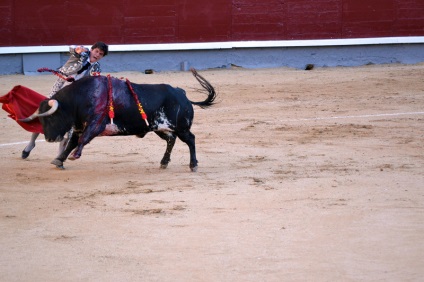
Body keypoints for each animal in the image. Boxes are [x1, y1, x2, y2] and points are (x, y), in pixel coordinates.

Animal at [22, 69, 215, 172]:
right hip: (159, 127)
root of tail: (182, 94)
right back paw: (163, 163)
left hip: (181, 127)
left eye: (52, 117)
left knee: (190, 139)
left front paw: (74, 155)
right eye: (42, 121)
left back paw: (193, 165)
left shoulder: (95, 124)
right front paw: (59, 160)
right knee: (171, 140)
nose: (49, 139)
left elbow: (82, 140)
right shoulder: (78, 127)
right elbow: (71, 143)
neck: (79, 98)